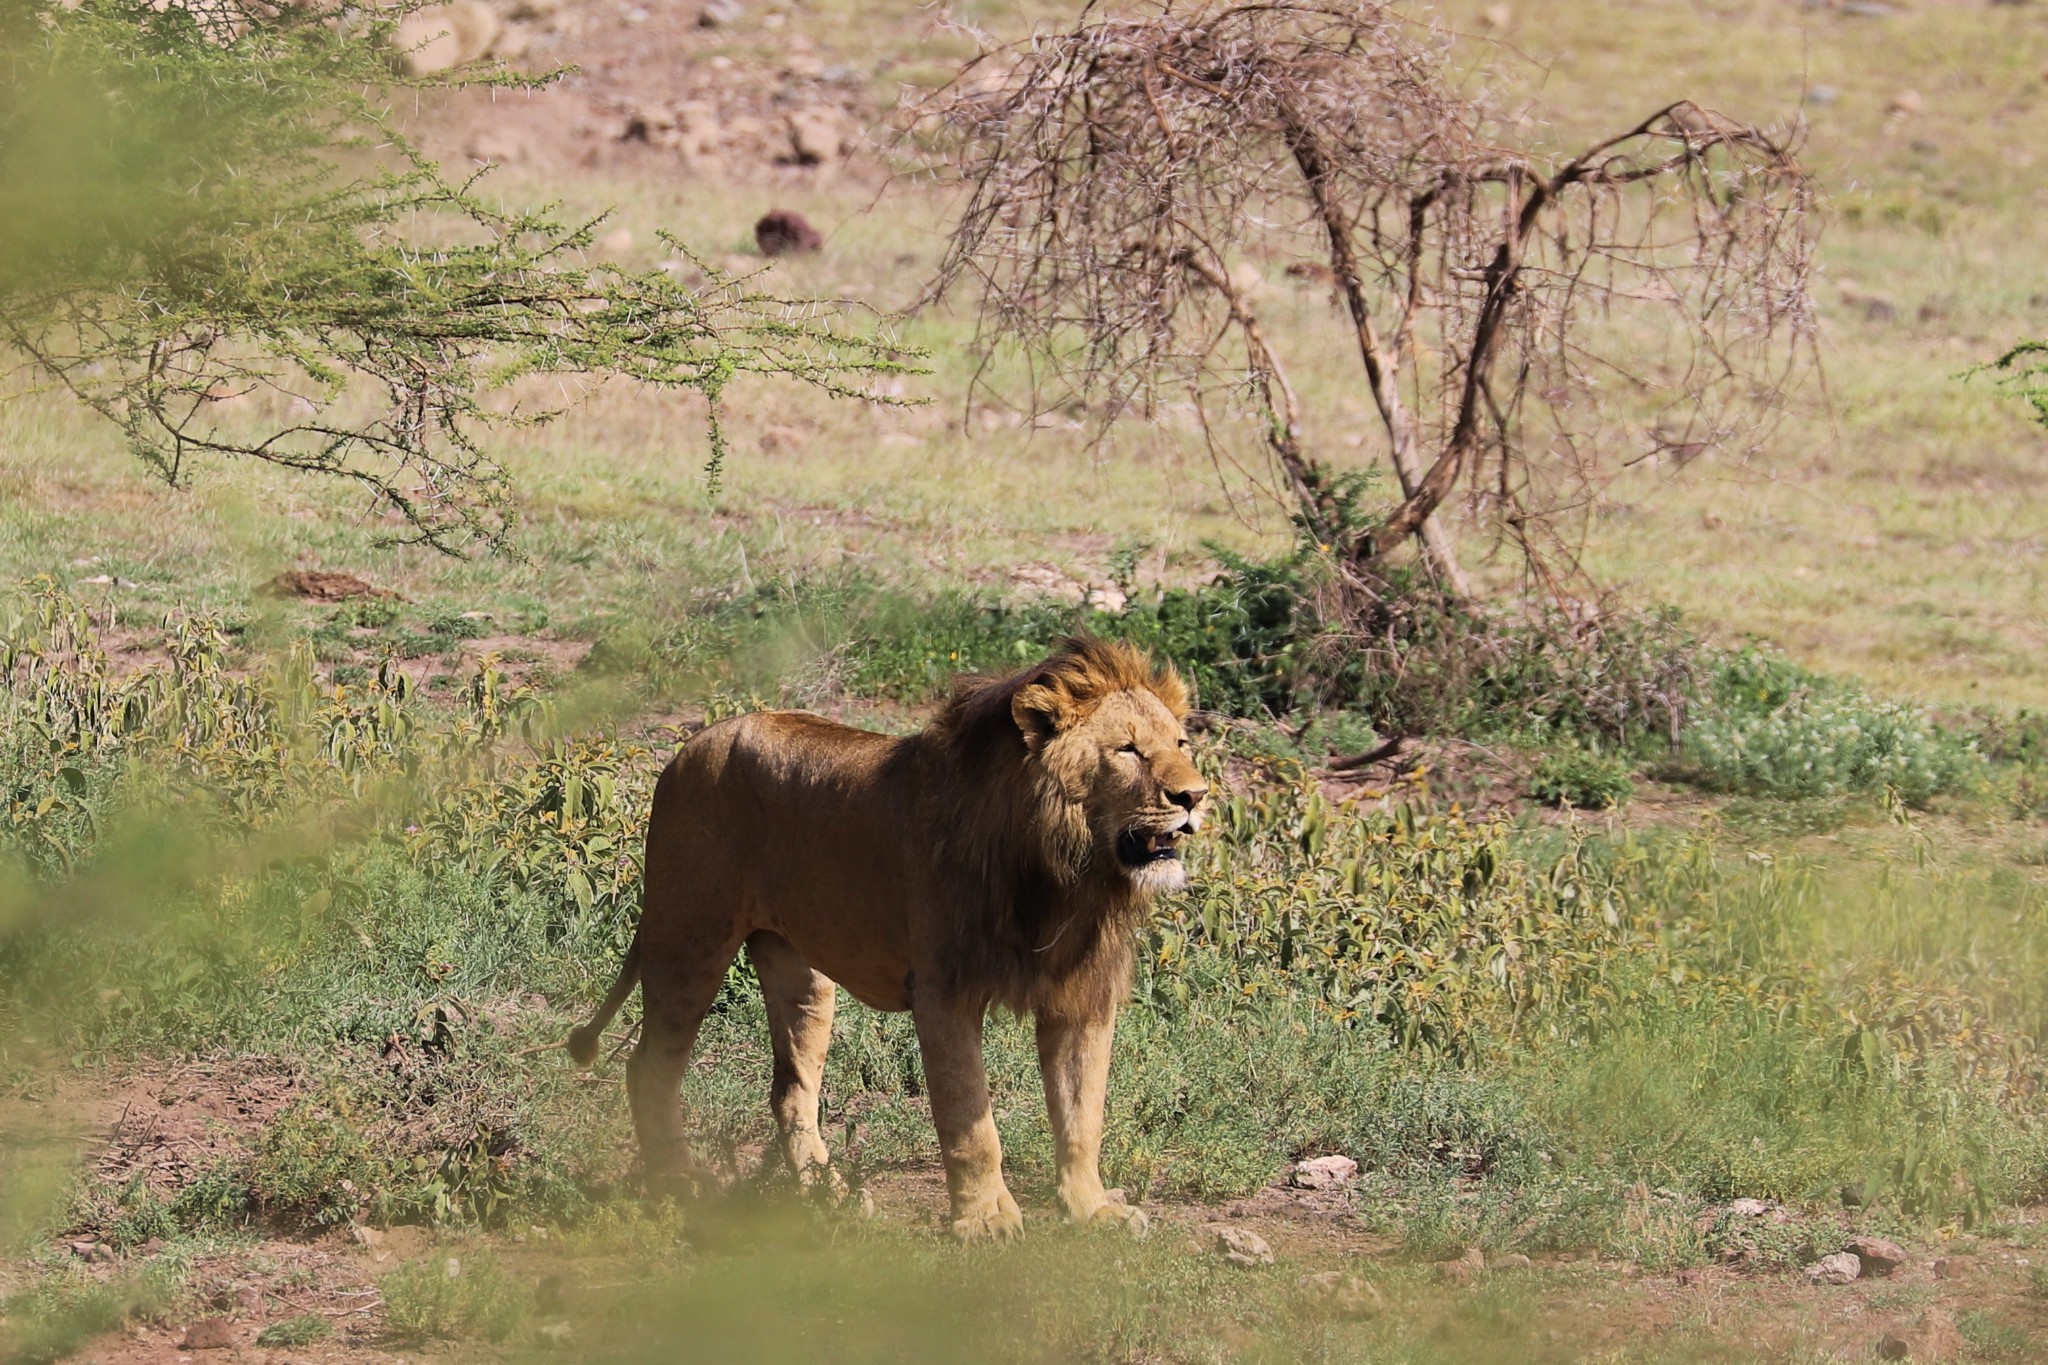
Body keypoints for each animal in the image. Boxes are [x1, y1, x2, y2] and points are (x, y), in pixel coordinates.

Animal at [561, 634, 1204, 1244]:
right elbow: (970, 1120)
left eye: (1181, 745)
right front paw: (985, 1220)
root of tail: (687, 748)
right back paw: (678, 1183)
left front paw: (1092, 1210)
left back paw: (828, 1194)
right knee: (650, 1066)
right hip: (687, 940)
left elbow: (1081, 1117)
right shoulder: (944, 991)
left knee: (791, 1087)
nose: (1196, 797)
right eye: (1127, 750)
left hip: (802, 976)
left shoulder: (1083, 996)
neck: (1065, 875)